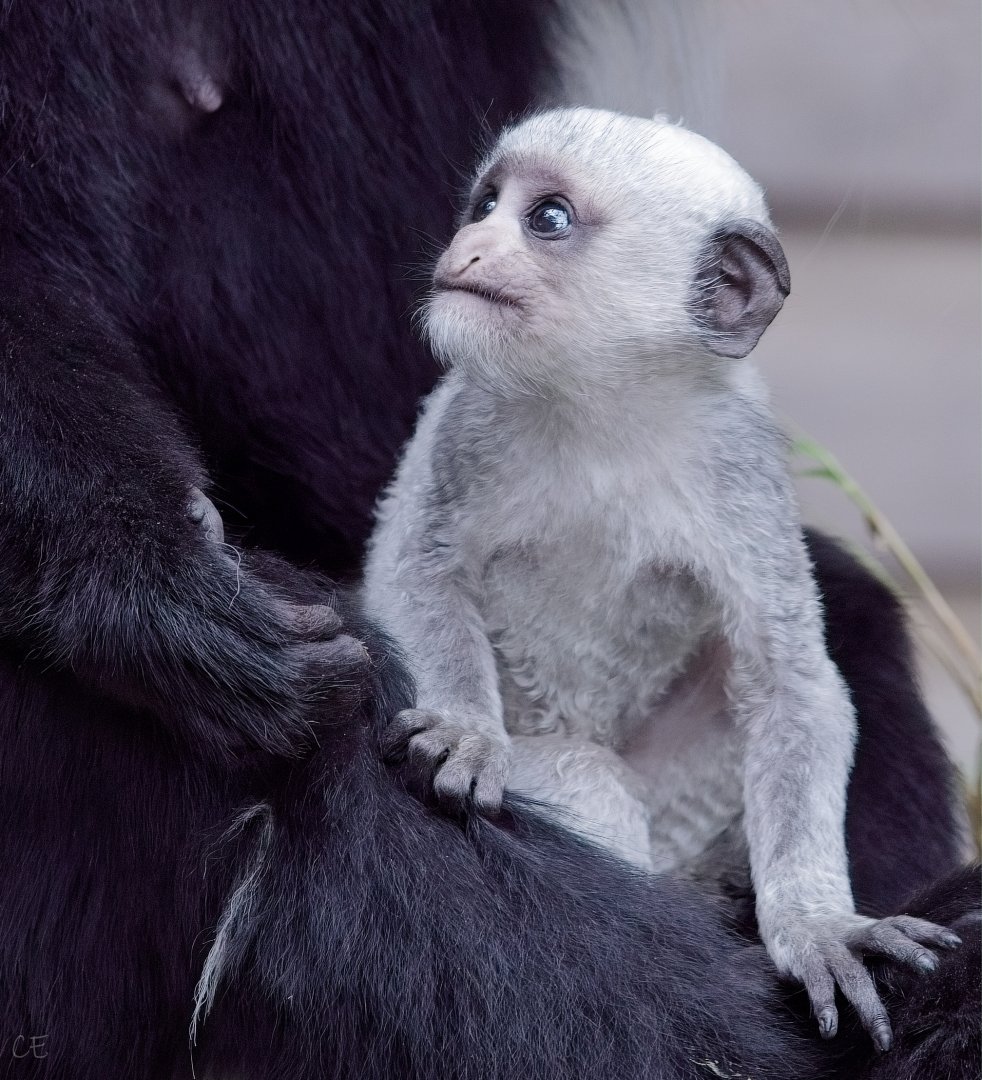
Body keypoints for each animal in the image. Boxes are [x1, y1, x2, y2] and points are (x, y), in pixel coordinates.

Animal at [364, 106, 962, 1052]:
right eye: (487, 203)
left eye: (546, 219)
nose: (467, 246)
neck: (605, 411)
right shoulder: (468, 424)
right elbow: (418, 578)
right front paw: (466, 731)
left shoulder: (740, 465)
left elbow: (793, 687)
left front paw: (819, 928)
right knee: (586, 779)